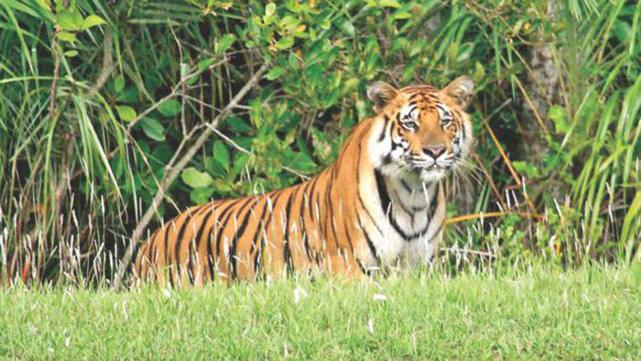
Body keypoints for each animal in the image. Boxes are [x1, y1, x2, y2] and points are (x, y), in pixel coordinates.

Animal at [135, 76, 472, 284]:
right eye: (411, 124)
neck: (413, 193)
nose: (435, 151)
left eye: (445, 121)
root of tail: (148, 243)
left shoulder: (420, 269)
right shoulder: (348, 269)